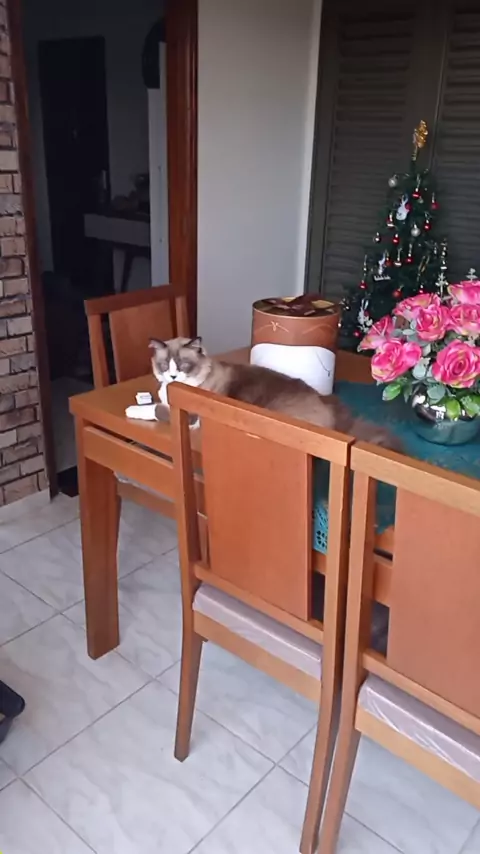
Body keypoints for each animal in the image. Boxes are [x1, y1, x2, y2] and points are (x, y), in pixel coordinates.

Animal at [125, 337, 402, 451]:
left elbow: (154, 409)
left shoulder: (186, 412)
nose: (173, 377)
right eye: (165, 365)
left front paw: (132, 409)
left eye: (183, 365)